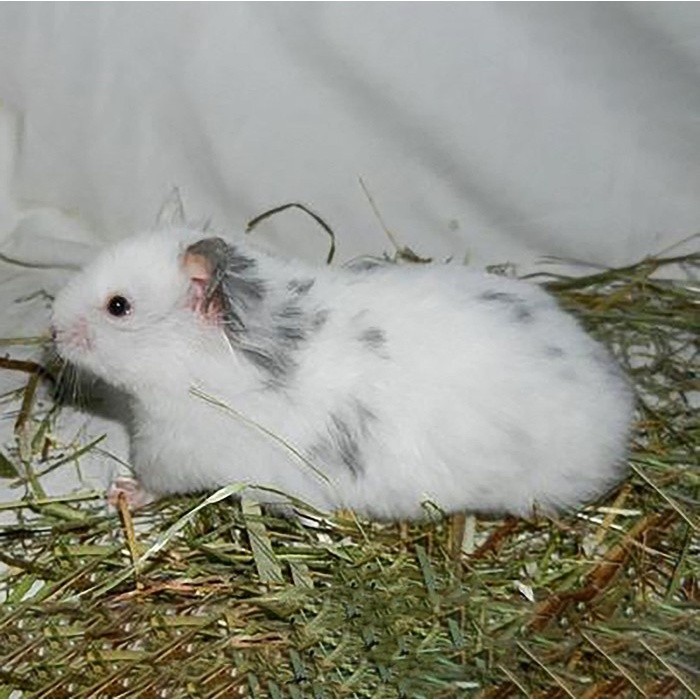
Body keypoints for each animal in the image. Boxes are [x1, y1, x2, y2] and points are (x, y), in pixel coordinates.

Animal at [50, 226, 634, 520]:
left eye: (119, 306)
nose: (52, 329)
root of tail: (621, 414)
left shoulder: (172, 452)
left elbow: (152, 482)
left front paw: (120, 493)